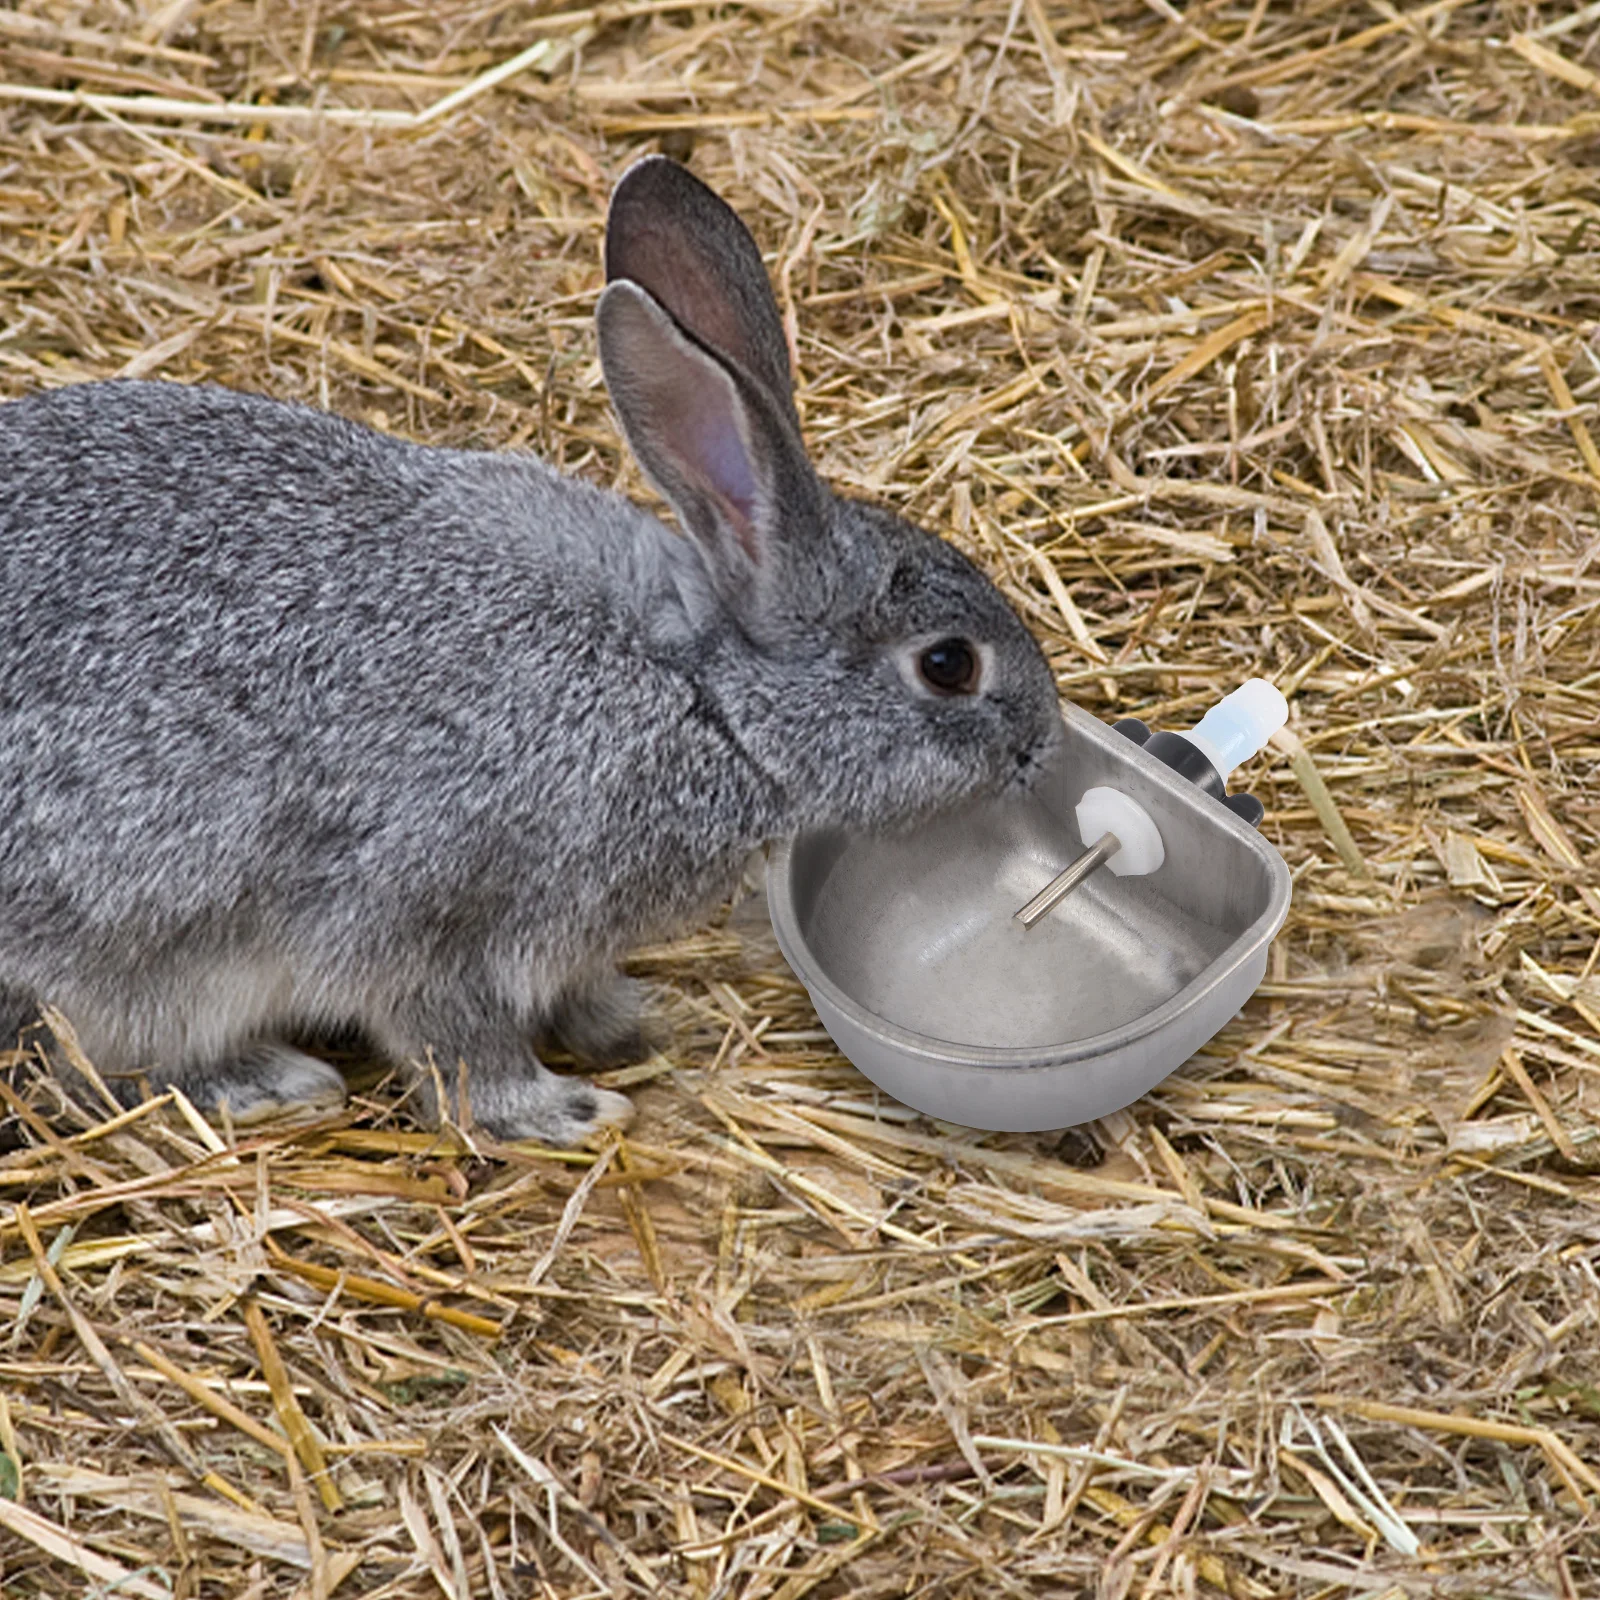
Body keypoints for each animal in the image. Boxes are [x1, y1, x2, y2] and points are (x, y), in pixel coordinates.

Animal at [0, 155, 1062, 1145]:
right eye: (949, 665)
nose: (1044, 745)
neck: (703, 693)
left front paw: (636, 1020)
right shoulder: (432, 910)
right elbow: (455, 1041)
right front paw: (563, 1109)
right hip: (134, 937)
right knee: (86, 1060)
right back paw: (266, 1078)